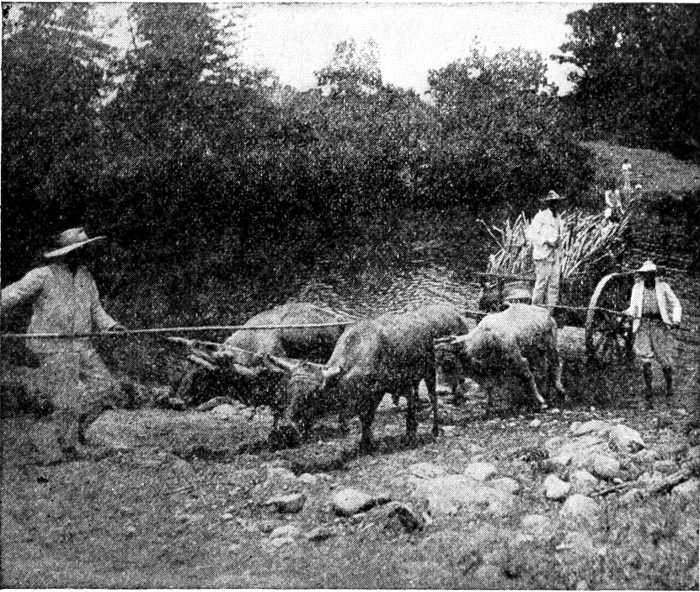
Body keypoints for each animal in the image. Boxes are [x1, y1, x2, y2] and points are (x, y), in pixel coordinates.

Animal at [263, 305, 470, 453]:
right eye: (287, 391)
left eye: (313, 394)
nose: (286, 427)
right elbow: (362, 417)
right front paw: (366, 441)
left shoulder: (375, 392)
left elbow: (367, 417)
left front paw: (367, 443)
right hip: (407, 379)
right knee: (411, 399)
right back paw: (410, 430)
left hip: (428, 371)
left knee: (433, 398)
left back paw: (434, 429)